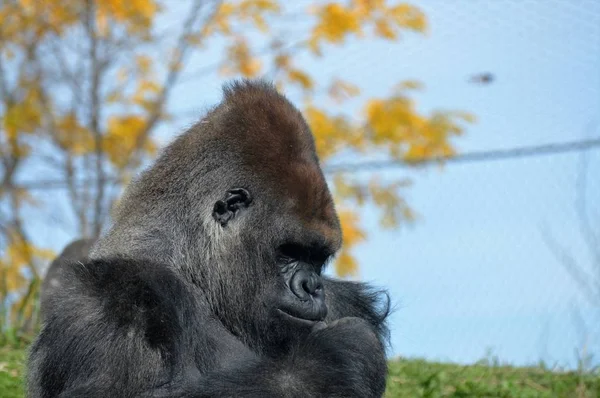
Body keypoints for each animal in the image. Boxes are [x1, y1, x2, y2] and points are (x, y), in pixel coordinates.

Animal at [28, 80, 392, 398]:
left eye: (317, 258)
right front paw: (343, 353)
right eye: (288, 251)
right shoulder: (114, 296)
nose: (312, 287)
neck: (197, 274)